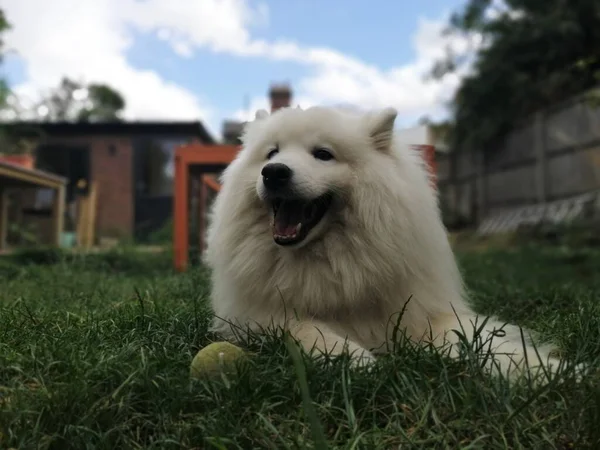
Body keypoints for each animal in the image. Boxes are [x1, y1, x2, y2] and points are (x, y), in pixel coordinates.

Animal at [206, 104, 564, 376]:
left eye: (323, 154)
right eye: (272, 153)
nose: (274, 172)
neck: (333, 262)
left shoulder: (424, 314)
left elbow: (489, 344)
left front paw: (551, 371)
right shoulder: (256, 315)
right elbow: (305, 328)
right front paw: (354, 358)